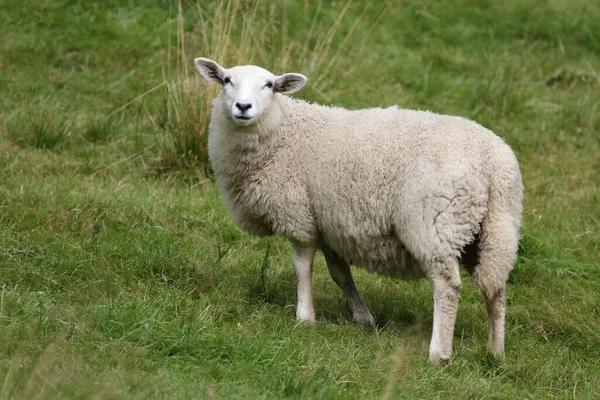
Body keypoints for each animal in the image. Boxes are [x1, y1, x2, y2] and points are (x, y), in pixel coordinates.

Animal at [195, 57, 524, 364]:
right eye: (227, 80)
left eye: (269, 85)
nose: (243, 107)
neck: (284, 131)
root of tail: (496, 162)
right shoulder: (330, 224)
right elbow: (340, 274)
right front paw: (363, 316)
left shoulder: (300, 217)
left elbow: (302, 268)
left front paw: (305, 317)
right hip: (491, 230)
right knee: (495, 288)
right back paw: (495, 351)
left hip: (435, 225)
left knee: (448, 287)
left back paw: (439, 353)